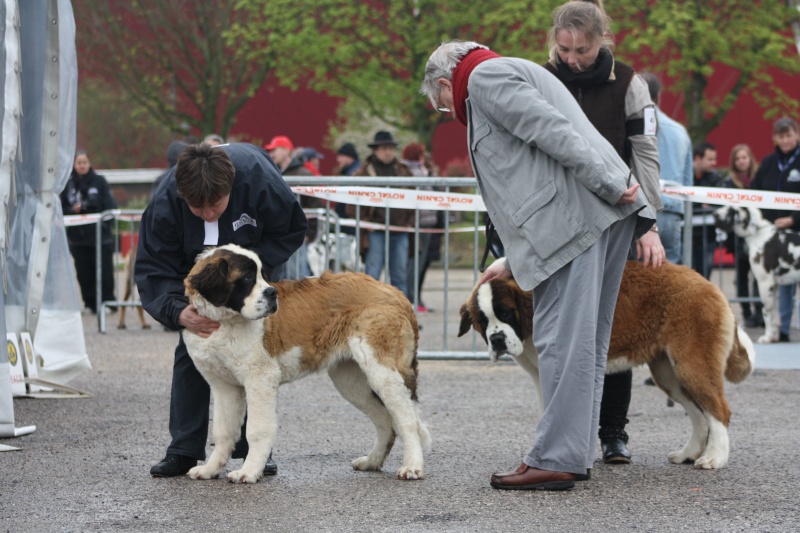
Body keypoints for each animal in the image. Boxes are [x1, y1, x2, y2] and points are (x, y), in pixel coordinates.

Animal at [182, 243, 432, 484]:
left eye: (262, 275)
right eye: (247, 277)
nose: (272, 292)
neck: (225, 321)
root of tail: (394, 291)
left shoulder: (260, 378)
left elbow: (256, 429)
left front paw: (249, 472)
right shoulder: (224, 387)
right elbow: (222, 432)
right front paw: (210, 469)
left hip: (383, 372)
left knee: (407, 420)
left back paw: (412, 467)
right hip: (352, 381)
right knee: (385, 420)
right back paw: (372, 461)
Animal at [462, 260, 756, 468]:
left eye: (506, 313)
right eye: (482, 321)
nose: (497, 339)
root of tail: (709, 285)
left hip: (691, 364)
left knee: (719, 410)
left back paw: (715, 458)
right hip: (670, 375)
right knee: (699, 414)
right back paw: (688, 453)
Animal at [712, 206, 800, 342]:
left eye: (731, 210)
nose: (714, 214)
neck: (759, 234)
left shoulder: (765, 283)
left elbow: (767, 312)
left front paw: (767, 337)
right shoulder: (773, 286)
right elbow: (773, 313)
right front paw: (772, 336)